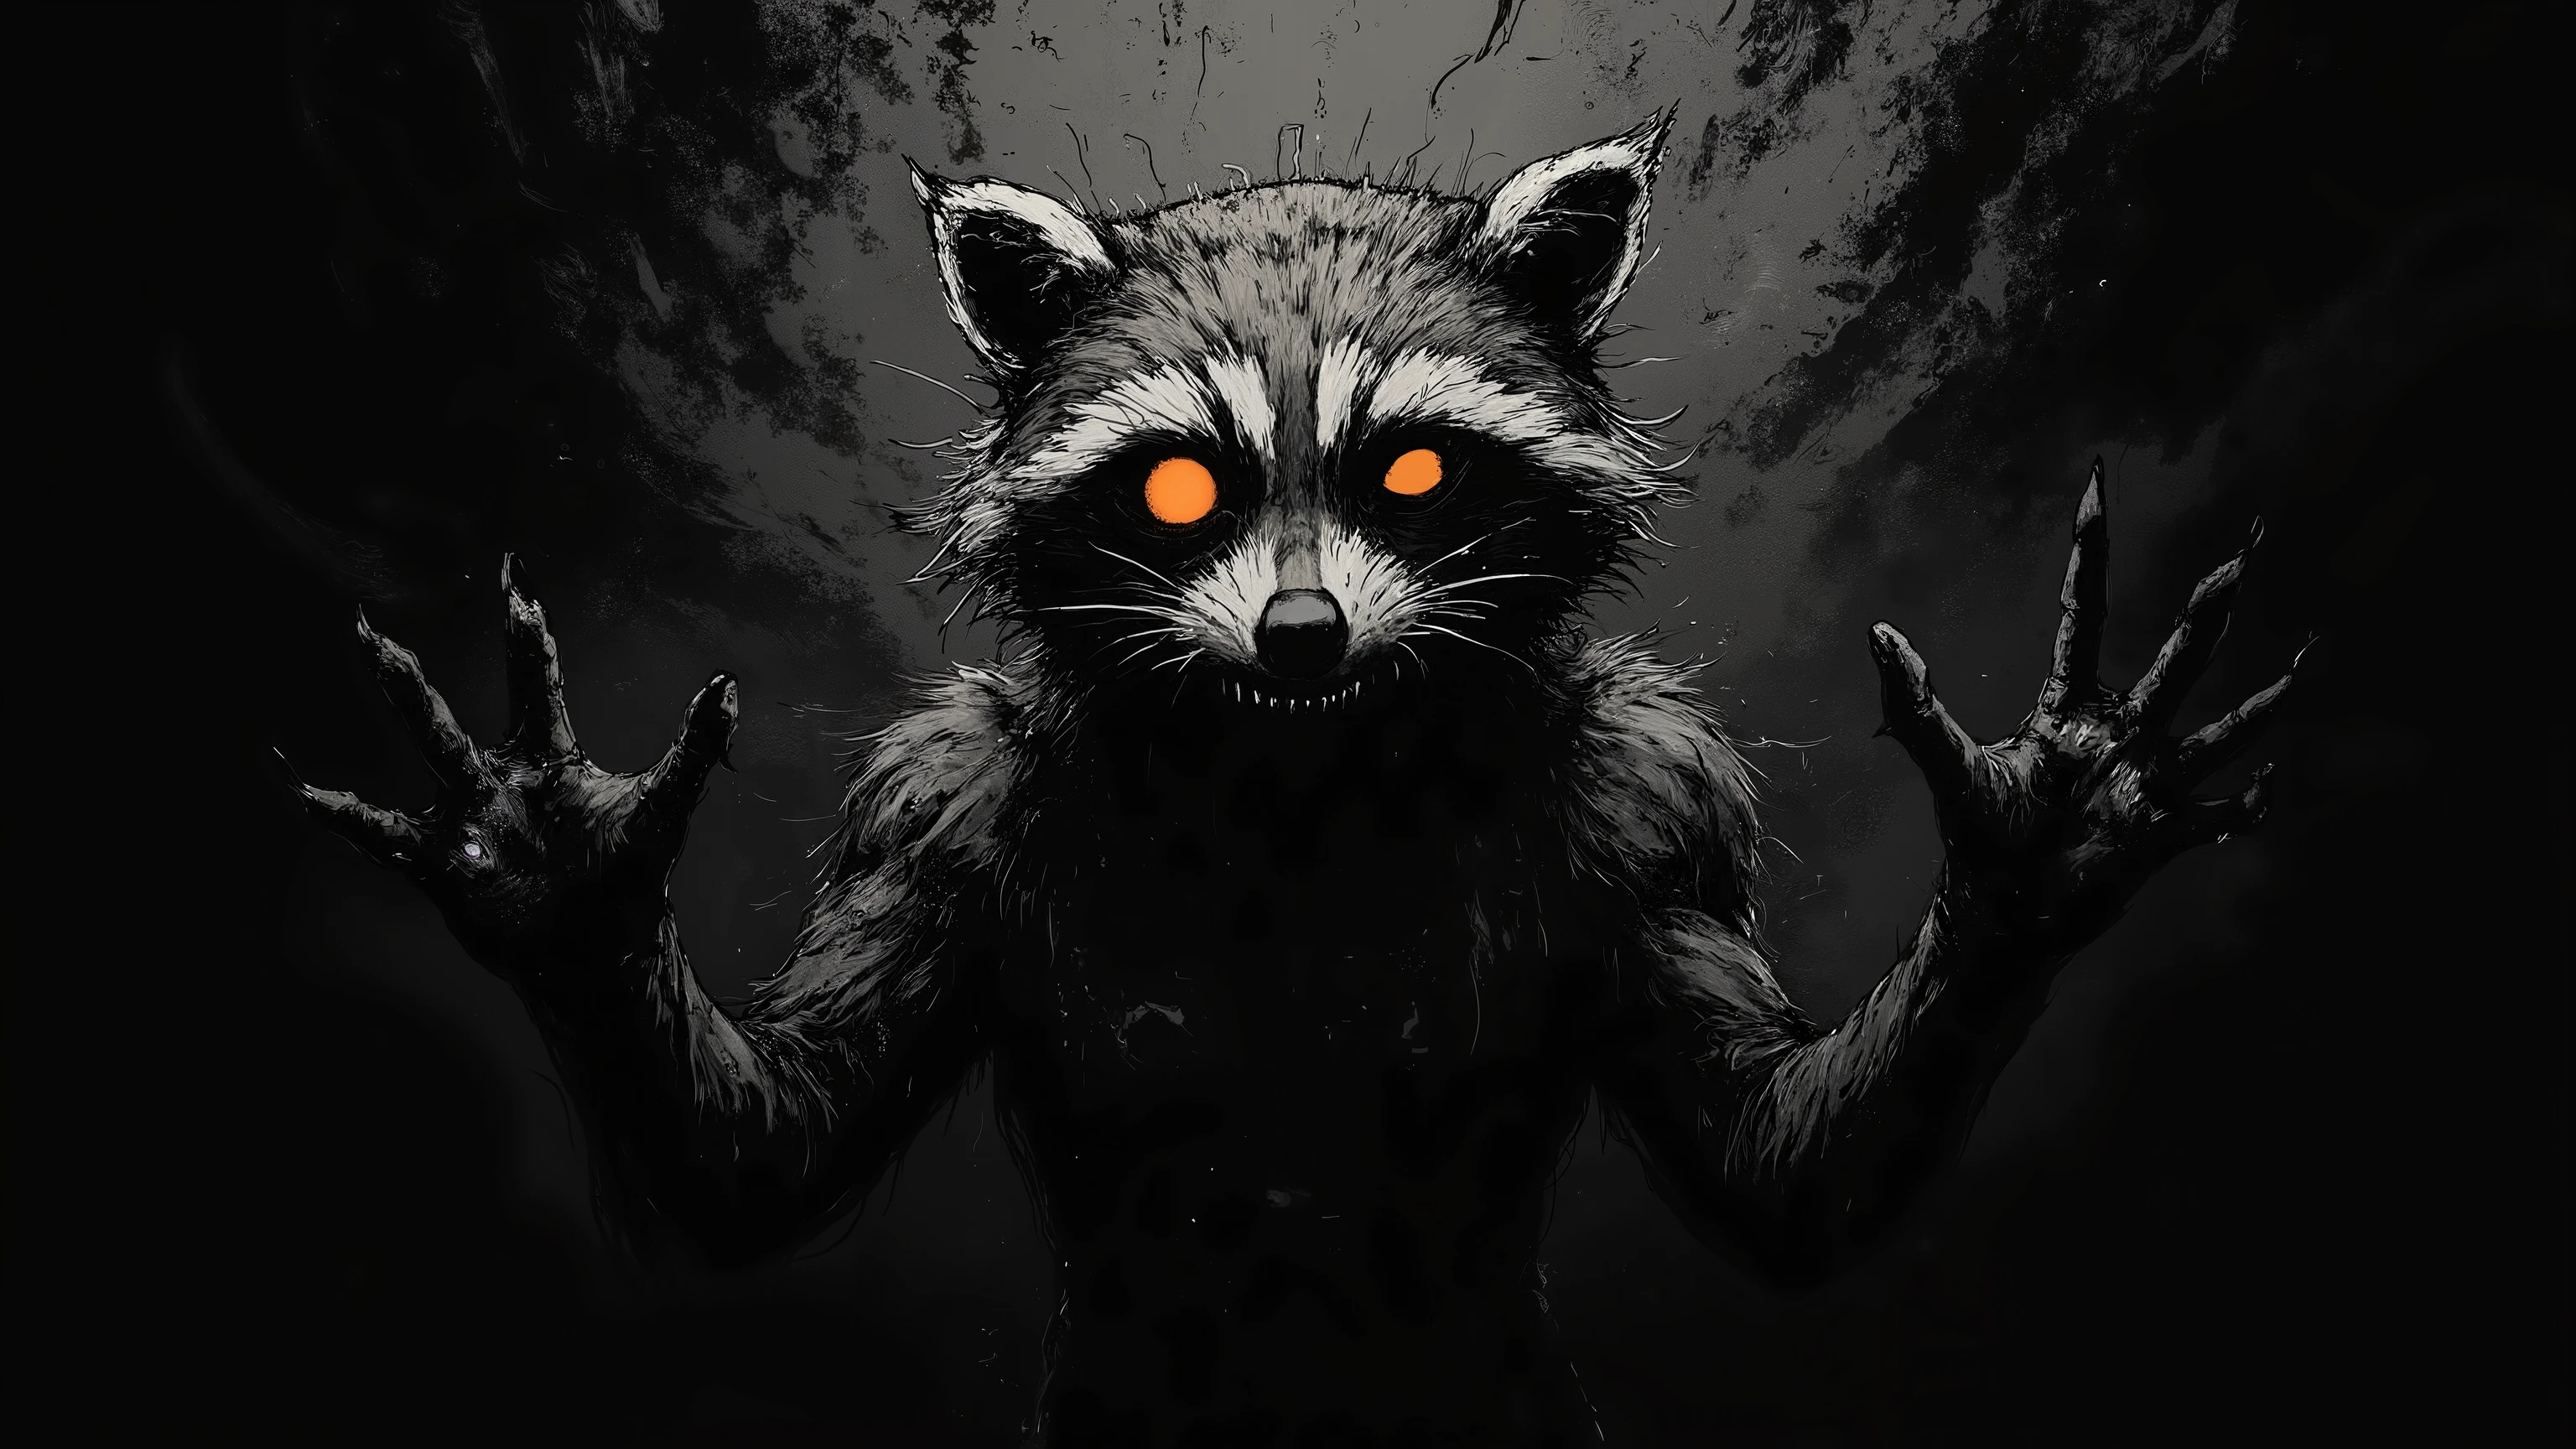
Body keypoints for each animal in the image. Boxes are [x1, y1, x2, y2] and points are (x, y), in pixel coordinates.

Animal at [298, 113, 2294, 1447]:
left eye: (1409, 469)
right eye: (1184, 485)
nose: (1305, 628)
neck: (1303, 773)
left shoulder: (1643, 803)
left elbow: (1772, 1167)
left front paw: (2033, 854)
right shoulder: (946, 807)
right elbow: (767, 1159)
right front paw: (570, 890)